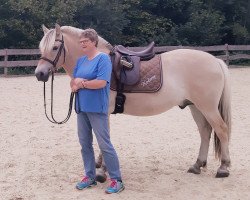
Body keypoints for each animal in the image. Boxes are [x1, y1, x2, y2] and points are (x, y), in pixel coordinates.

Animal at [34, 24, 230, 180]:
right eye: (41, 47)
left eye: (55, 47)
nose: (39, 74)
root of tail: (215, 61)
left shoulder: (103, 112)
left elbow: (104, 138)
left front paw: (102, 171)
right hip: (196, 107)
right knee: (205, 132)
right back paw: (197, 165)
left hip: (208, 108)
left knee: (221, 130)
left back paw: (224, 167)